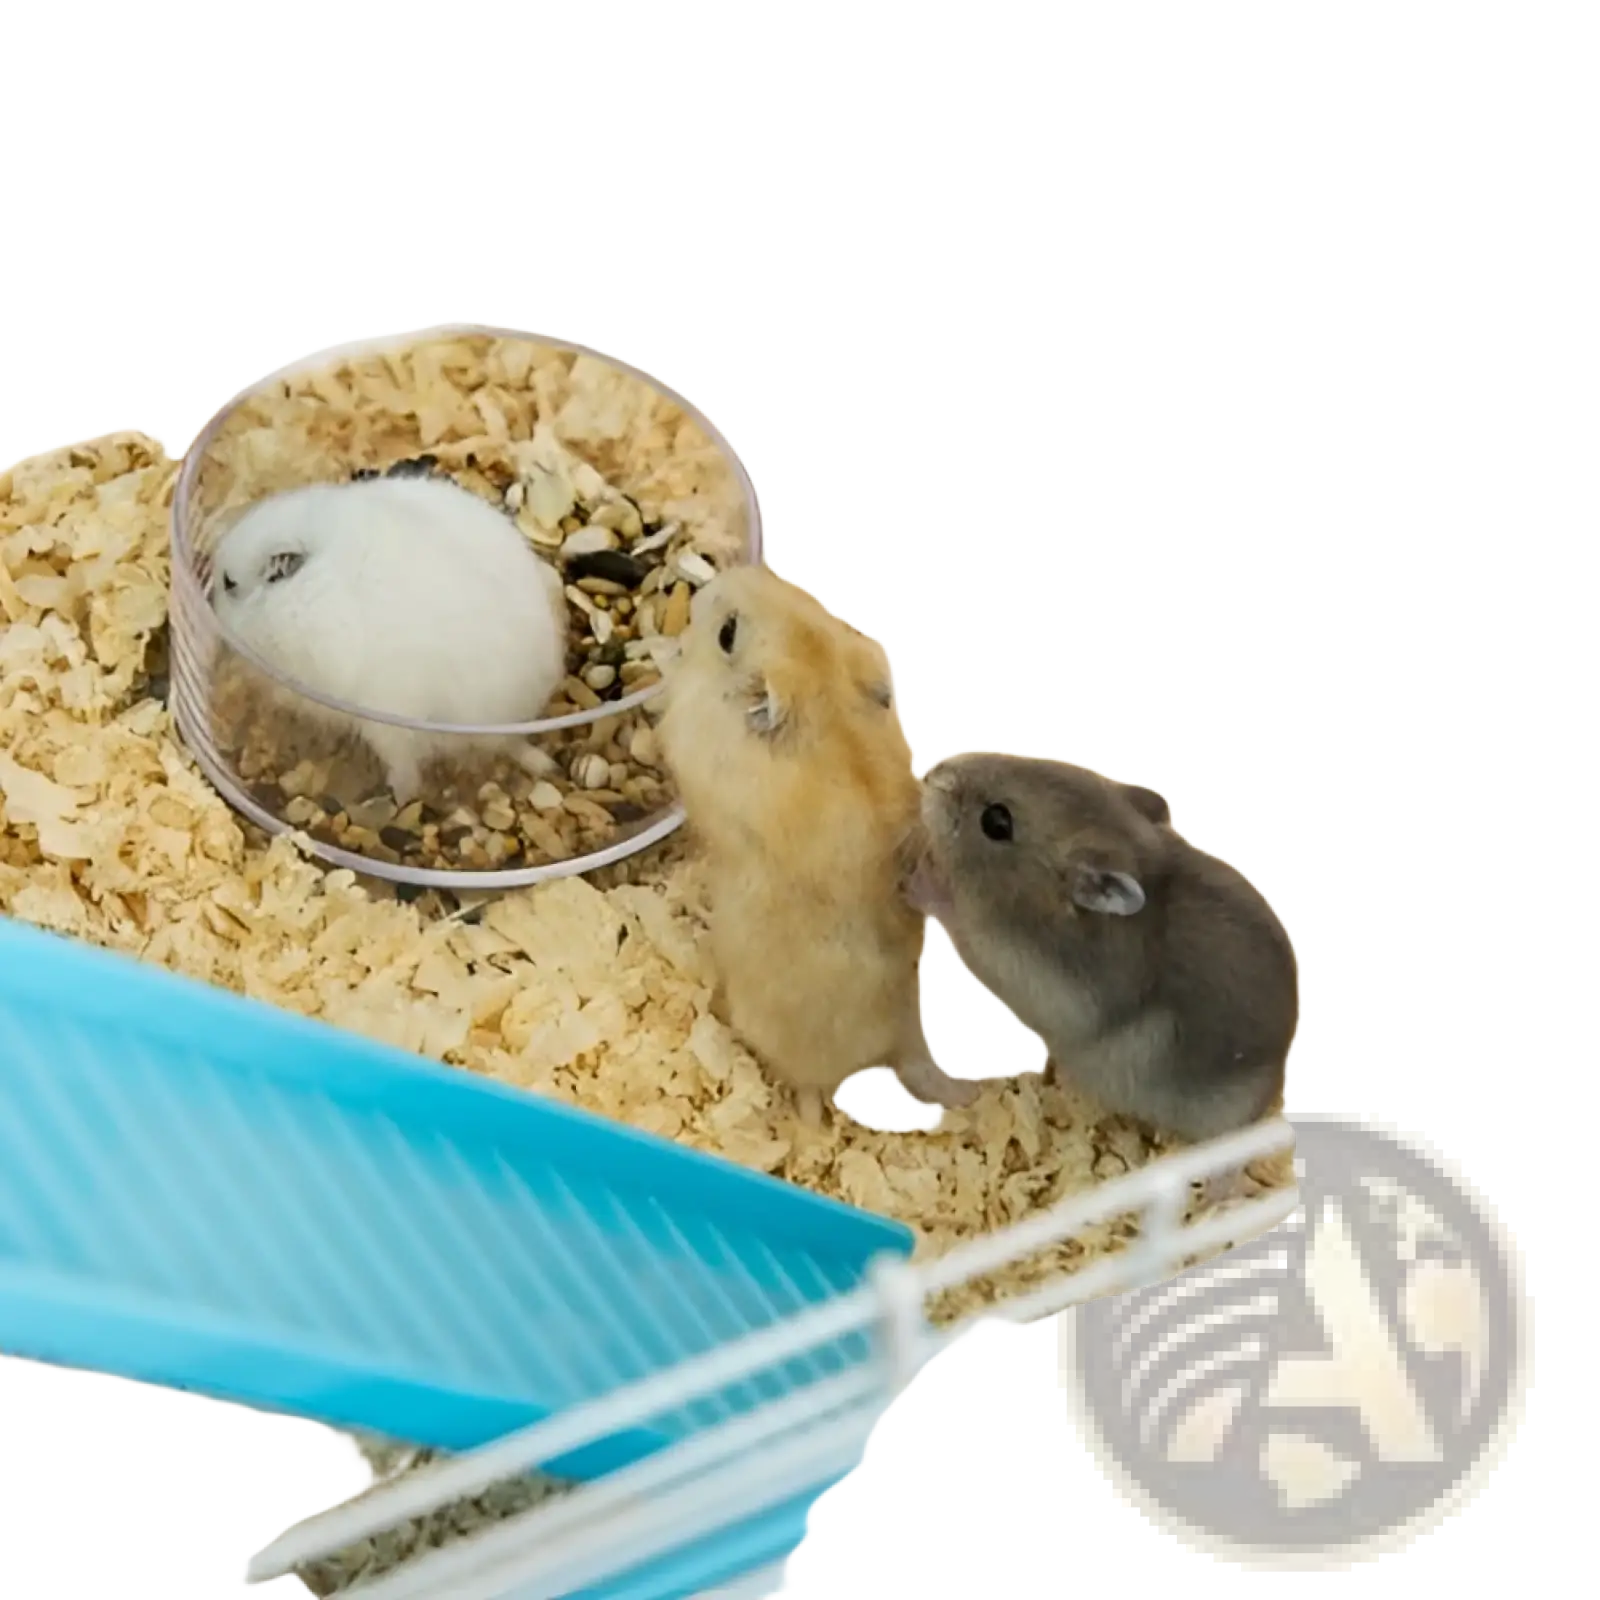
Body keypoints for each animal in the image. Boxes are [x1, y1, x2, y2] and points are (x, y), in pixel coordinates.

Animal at [656, 563, 978, 1122]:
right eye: (804, 590)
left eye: (727, 633)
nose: (712, 582)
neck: (824, 694)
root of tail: (905, 1039)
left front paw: (659, 651)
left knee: (809, 1097)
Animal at [909, 750, 1300, 1148]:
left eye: (997, 822)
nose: (933, 773)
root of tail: (1276, 1083)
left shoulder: (1013, 969)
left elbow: (955, 921)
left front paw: (919, 875)